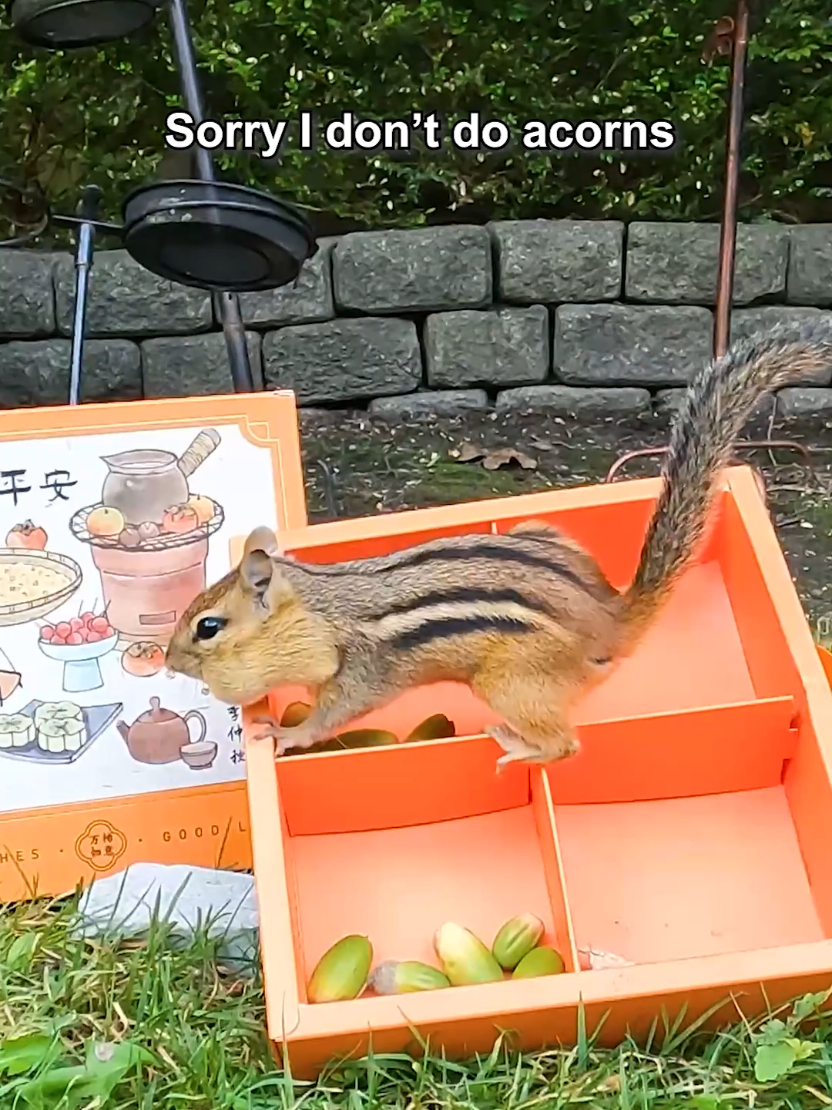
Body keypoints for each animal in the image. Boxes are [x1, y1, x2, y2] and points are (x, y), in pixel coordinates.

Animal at [165, 323, 832, 769]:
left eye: (208, 628)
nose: (168, 663)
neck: (322, 606)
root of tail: (613, 616)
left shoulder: (363, 670)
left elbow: (336, 711)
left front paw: (286, 736)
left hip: (509, 683)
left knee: (566, 746)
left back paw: (519, 749)